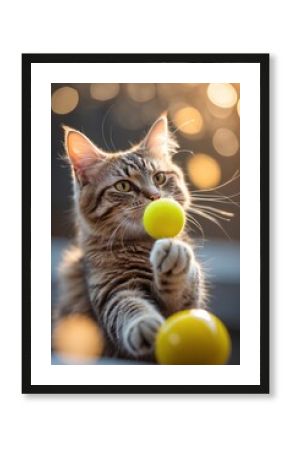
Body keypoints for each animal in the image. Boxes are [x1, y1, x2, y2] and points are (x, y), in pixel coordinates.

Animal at [53, 114, 206, 360]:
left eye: (159, 178)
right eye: (124, 186)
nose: (154, 196)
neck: (142, 245)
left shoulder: (187, 306)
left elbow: (183, 289)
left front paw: (175, 257)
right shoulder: (113, 289)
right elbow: (129, 308)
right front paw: (144, 324)